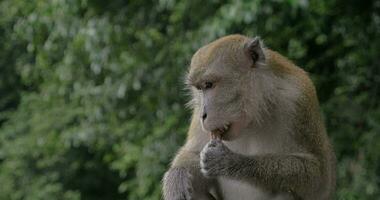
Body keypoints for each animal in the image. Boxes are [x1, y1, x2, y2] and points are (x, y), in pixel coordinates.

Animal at [163, 34, 336, 200]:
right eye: (199, 89)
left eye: (209, 85)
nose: (203, 116)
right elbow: (192, 153)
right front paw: (177, 177)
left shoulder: (298, 99)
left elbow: (318, 180)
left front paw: (229, 162)